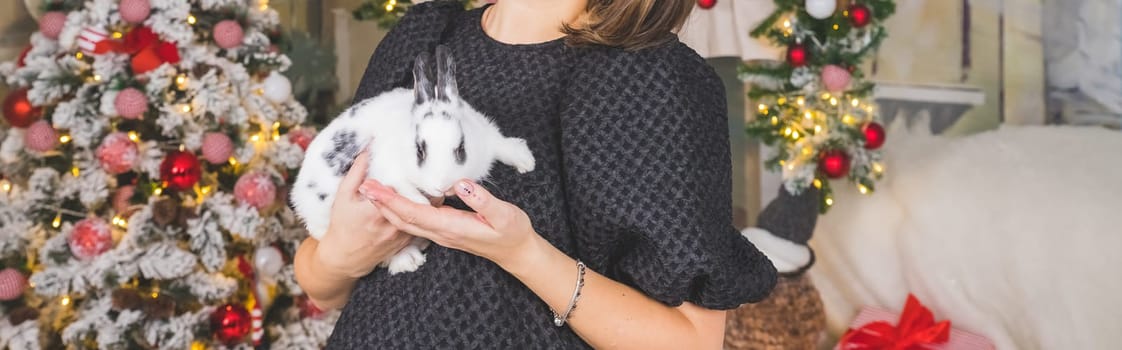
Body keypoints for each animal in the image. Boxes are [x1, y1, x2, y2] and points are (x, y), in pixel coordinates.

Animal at [289, 45, 534, 273]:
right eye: (419, 151)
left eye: (461, 148)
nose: (442, 186)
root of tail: (298, 198)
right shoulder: (385, 169)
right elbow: (402, 186)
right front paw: (421, 203)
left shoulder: (483, 131)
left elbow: (499, 142)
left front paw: (526, 161)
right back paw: (408, 260)